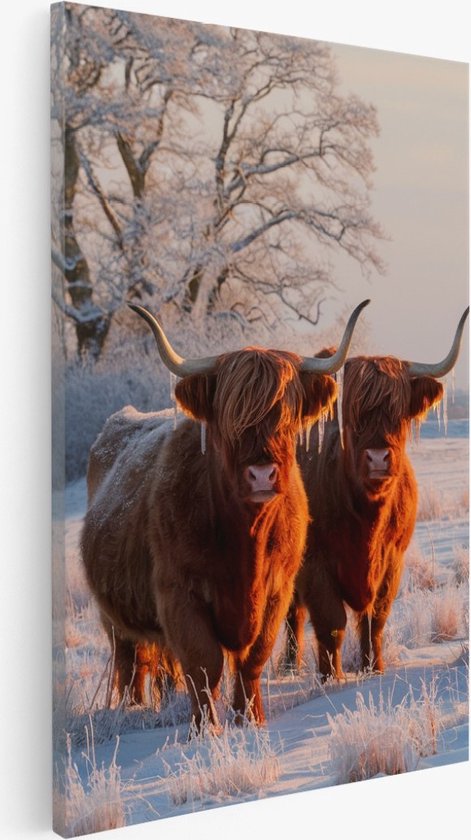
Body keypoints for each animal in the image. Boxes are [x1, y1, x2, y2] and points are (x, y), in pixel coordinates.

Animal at [80, 300, 369, 729]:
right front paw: (206, 729)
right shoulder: (179, 593)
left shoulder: (277, 590)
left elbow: (252, 658)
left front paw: (250, 717)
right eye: (230, 418)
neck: (246, 539)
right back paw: (131, 710)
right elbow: (203, 664)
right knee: (130, 661)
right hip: (112, 616)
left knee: (160, 663)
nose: (262, 474)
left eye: (287, 415)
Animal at [282, 308, 469, 681]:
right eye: (353, 412)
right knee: (292, 614)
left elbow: (375, 619)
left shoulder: (392, 559)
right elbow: (331, 623)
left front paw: (374, 669)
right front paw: (331, 679)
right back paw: (288, 667)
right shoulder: (315, 562)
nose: (379, 457)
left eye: (398, 413)